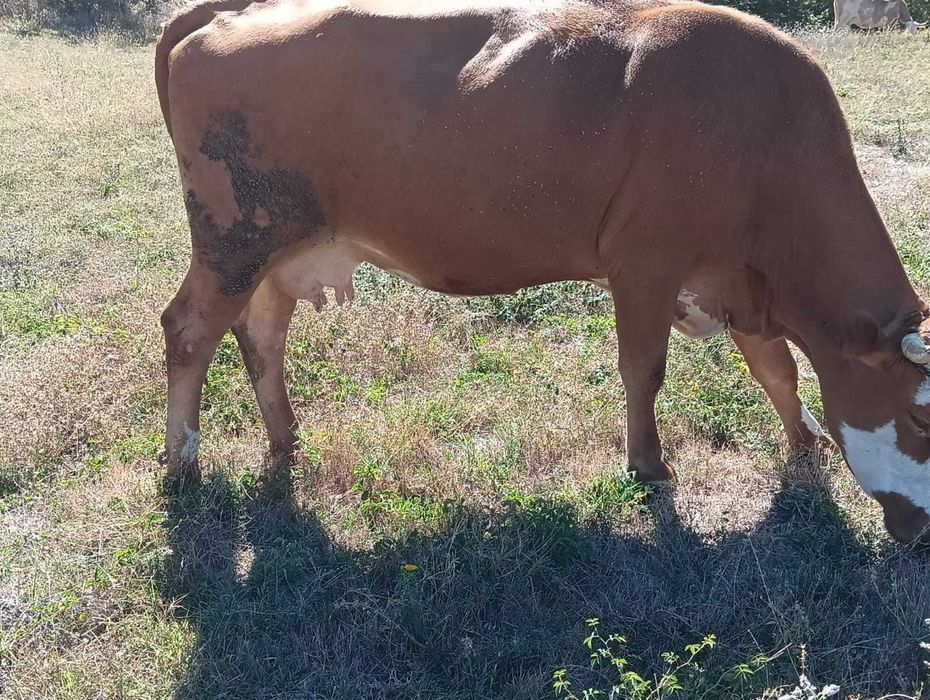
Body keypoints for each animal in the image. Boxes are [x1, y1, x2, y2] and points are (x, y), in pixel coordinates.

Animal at [155, 0, 930, 544]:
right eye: (921, 415)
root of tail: (223, 12)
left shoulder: (738, 279)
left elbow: (777, 370)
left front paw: (806, 443)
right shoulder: (646, 263)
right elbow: (644, 368)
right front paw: (650, 466)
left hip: (274, 253)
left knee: (261, 337)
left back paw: (284, 442)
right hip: (233, 240)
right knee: (188, 331)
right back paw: (183, 461)